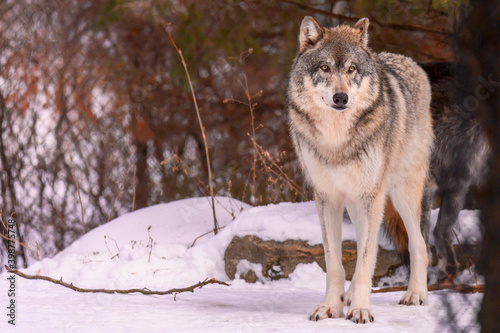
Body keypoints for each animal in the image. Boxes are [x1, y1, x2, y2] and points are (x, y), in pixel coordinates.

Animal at [290, 16, 434, 324]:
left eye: (352, 69)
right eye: (325, 68)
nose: (341, 98)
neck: (336, 139)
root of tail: (410, 62)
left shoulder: (370, 196)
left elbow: (366, 260)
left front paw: (360, 309)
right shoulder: (327, 197)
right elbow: (334, 261)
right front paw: (331, 306)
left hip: (398, 194)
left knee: (418, 243)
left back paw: (415, 294)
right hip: (358, 204)